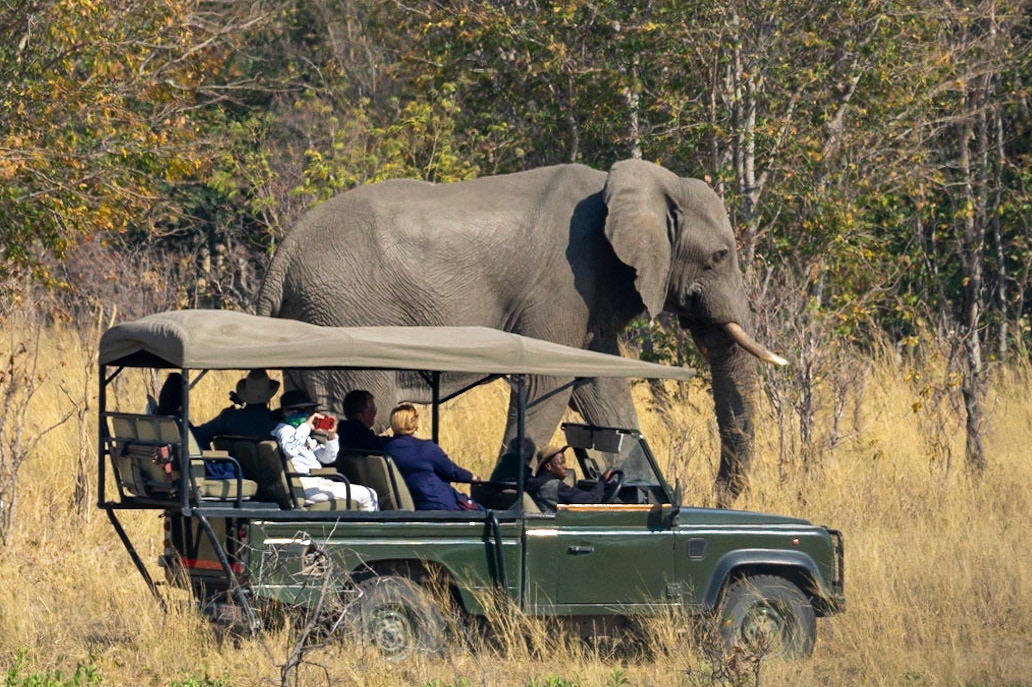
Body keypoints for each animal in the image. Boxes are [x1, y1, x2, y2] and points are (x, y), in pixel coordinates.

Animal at [255, 160, 786, 505]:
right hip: (342, 317)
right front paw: (508, 493)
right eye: (720, 256)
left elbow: (601, 386)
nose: (718, 497)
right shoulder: (567, 280)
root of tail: (281, 258)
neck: (642, 182)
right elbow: (548, 383)